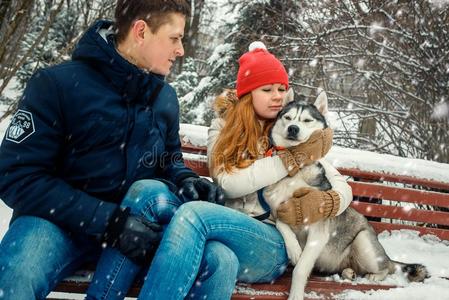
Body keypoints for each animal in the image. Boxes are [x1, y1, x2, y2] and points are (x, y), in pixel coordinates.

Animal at [264, 91, 428, 300]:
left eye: (307, 120)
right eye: (287, 117)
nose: (293, 128)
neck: (296, 170)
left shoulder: (318, 234)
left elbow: (300, 269)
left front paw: (295, 294)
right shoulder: (278, 210)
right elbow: (281, 223)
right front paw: (293, 248)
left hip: (364, 243)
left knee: (386, 268)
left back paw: (375, 275)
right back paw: (348, 272)